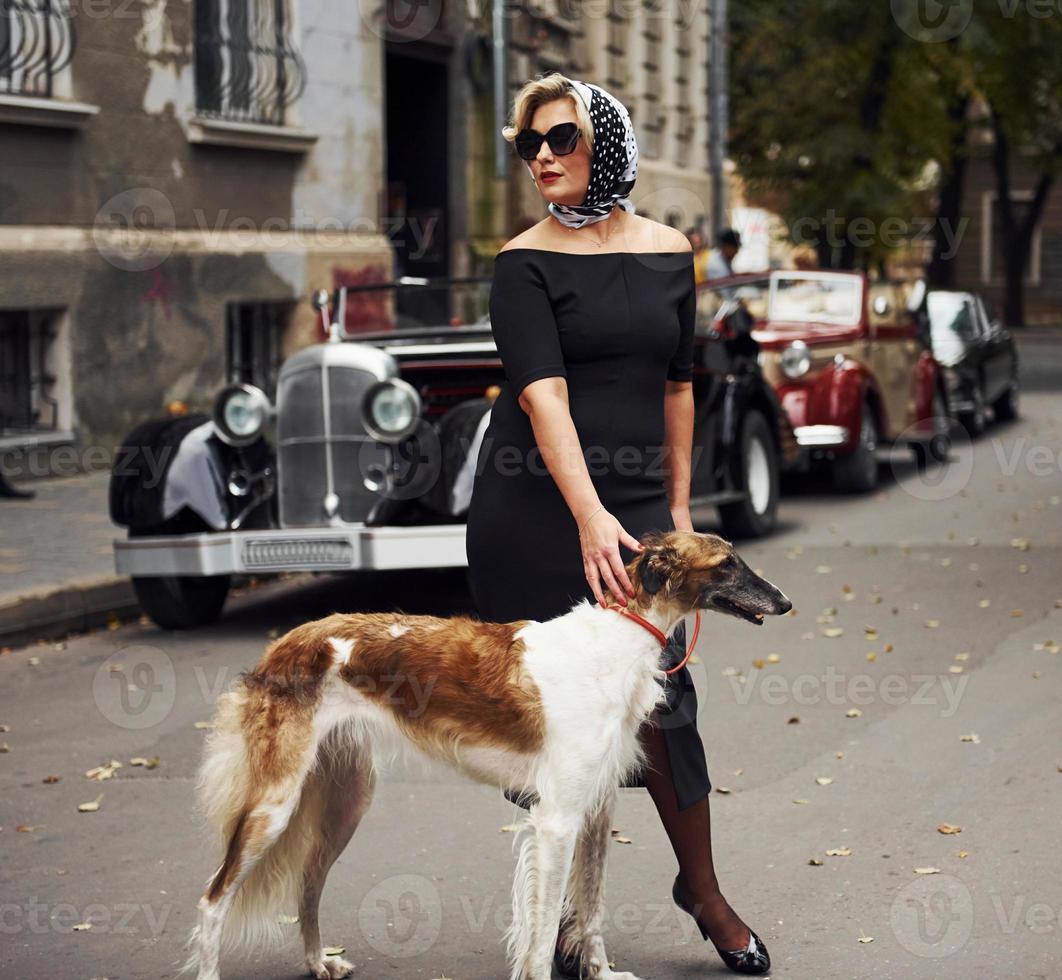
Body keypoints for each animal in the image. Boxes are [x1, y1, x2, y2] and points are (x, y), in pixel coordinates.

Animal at [186, 533, 794, 980]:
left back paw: (319, 963)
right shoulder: (557, 820)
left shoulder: (597, 809)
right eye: (725, 565)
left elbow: (590, 910)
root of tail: (281, 645)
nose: (785, 601)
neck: (616, 639)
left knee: (308, 887)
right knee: (213, 899)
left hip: (344, 801)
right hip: (274, 806)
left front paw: (601, 973)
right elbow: (544, 929)